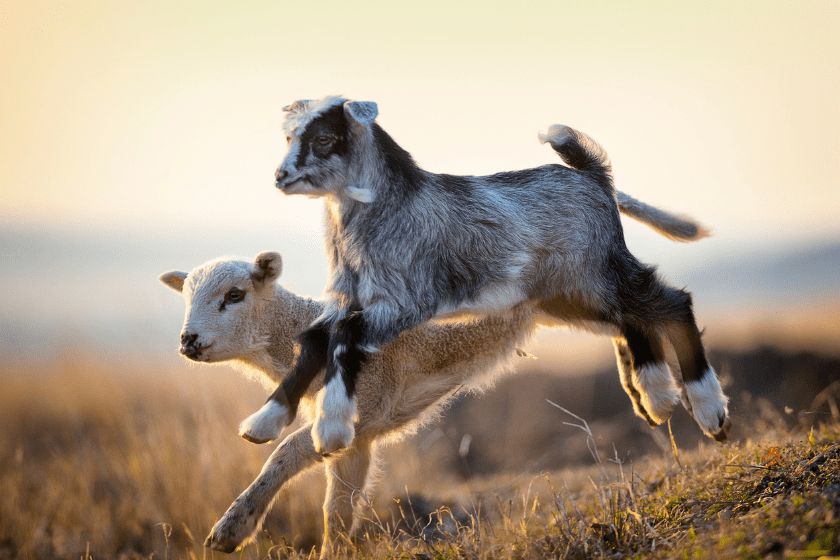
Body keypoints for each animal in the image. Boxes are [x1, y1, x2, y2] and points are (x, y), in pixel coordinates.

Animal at [158, 253, 540, 556]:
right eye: (186, 297)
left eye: (234, 295)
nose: (188, 340)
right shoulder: (358, 438)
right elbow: (338, 510)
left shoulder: (363, 407)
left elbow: (287, 451)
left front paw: (231, 529)